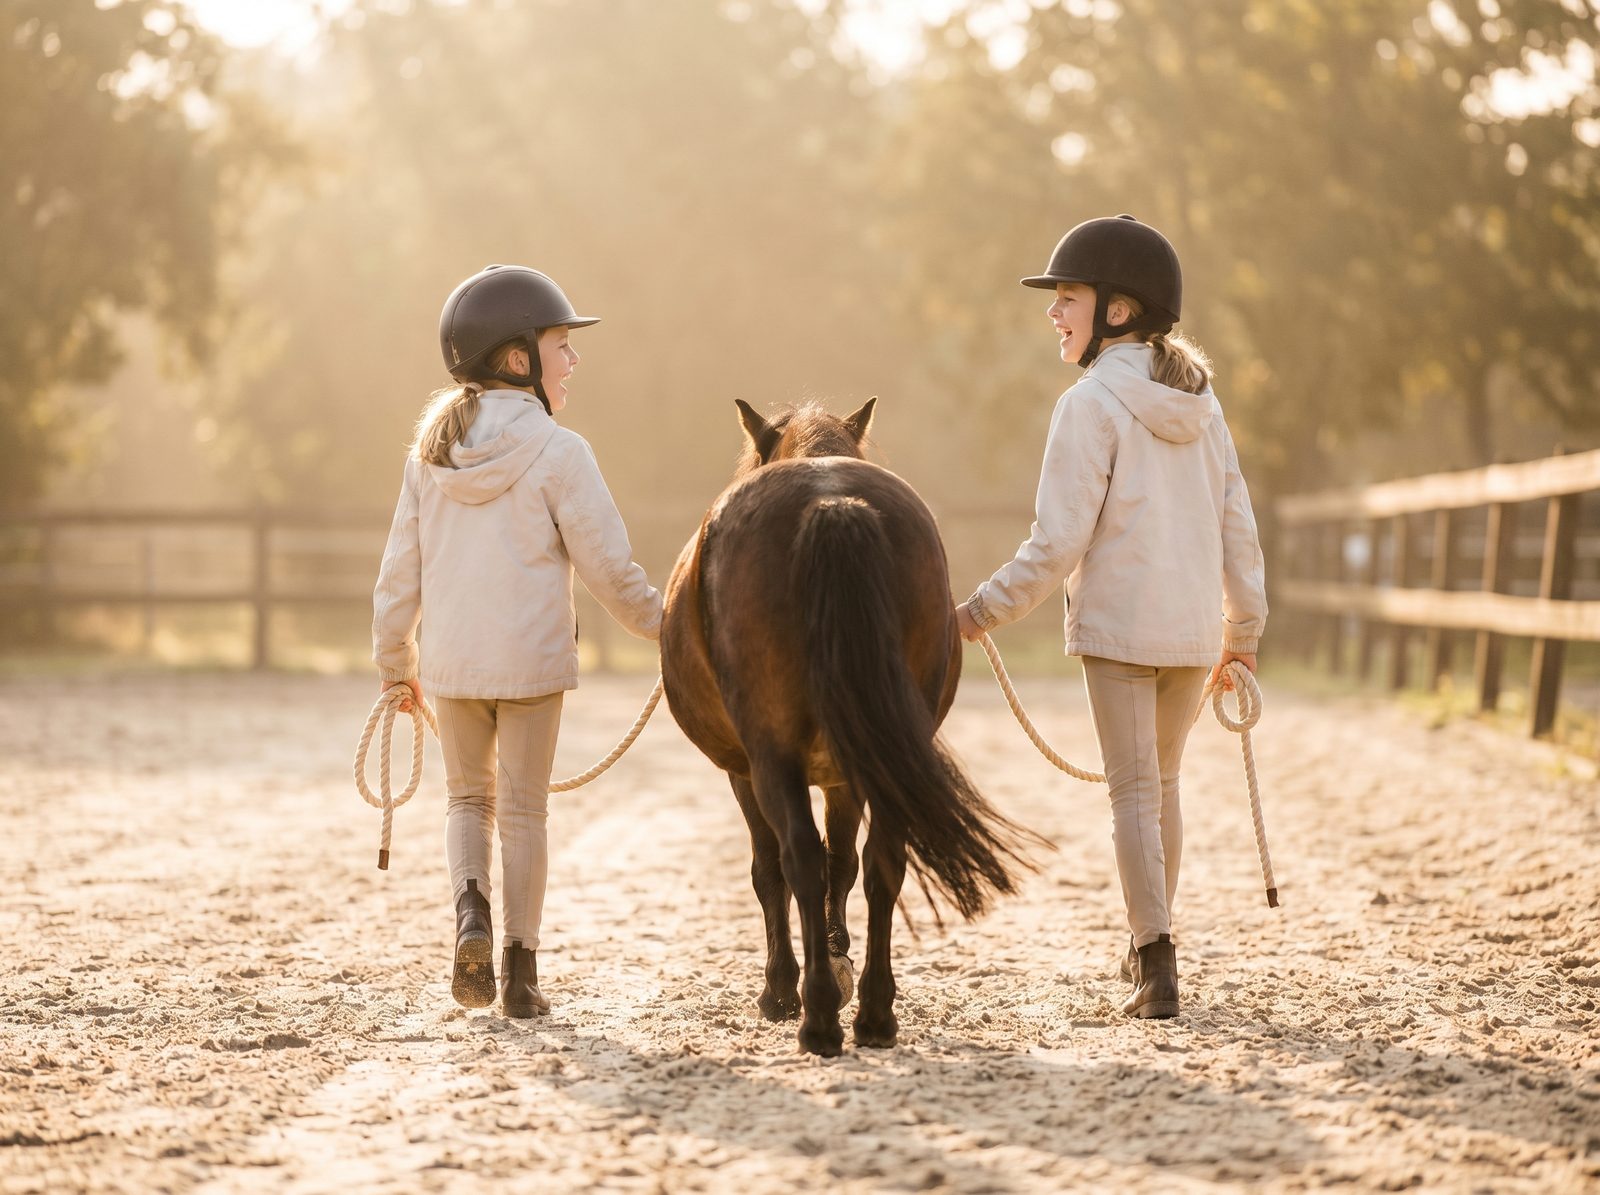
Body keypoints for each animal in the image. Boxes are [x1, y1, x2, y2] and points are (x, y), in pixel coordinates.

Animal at [659, 397, 1040, 1056]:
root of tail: (830, 502)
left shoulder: (745, 771)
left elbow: (772, 870)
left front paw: (785, 987)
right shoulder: (848, 772)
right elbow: (846, 862)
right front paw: (838, 959)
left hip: (773, 760)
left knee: (799, 862)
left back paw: (815, 1016)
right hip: (883, 757)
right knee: (883, 861)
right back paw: (874, 1014)